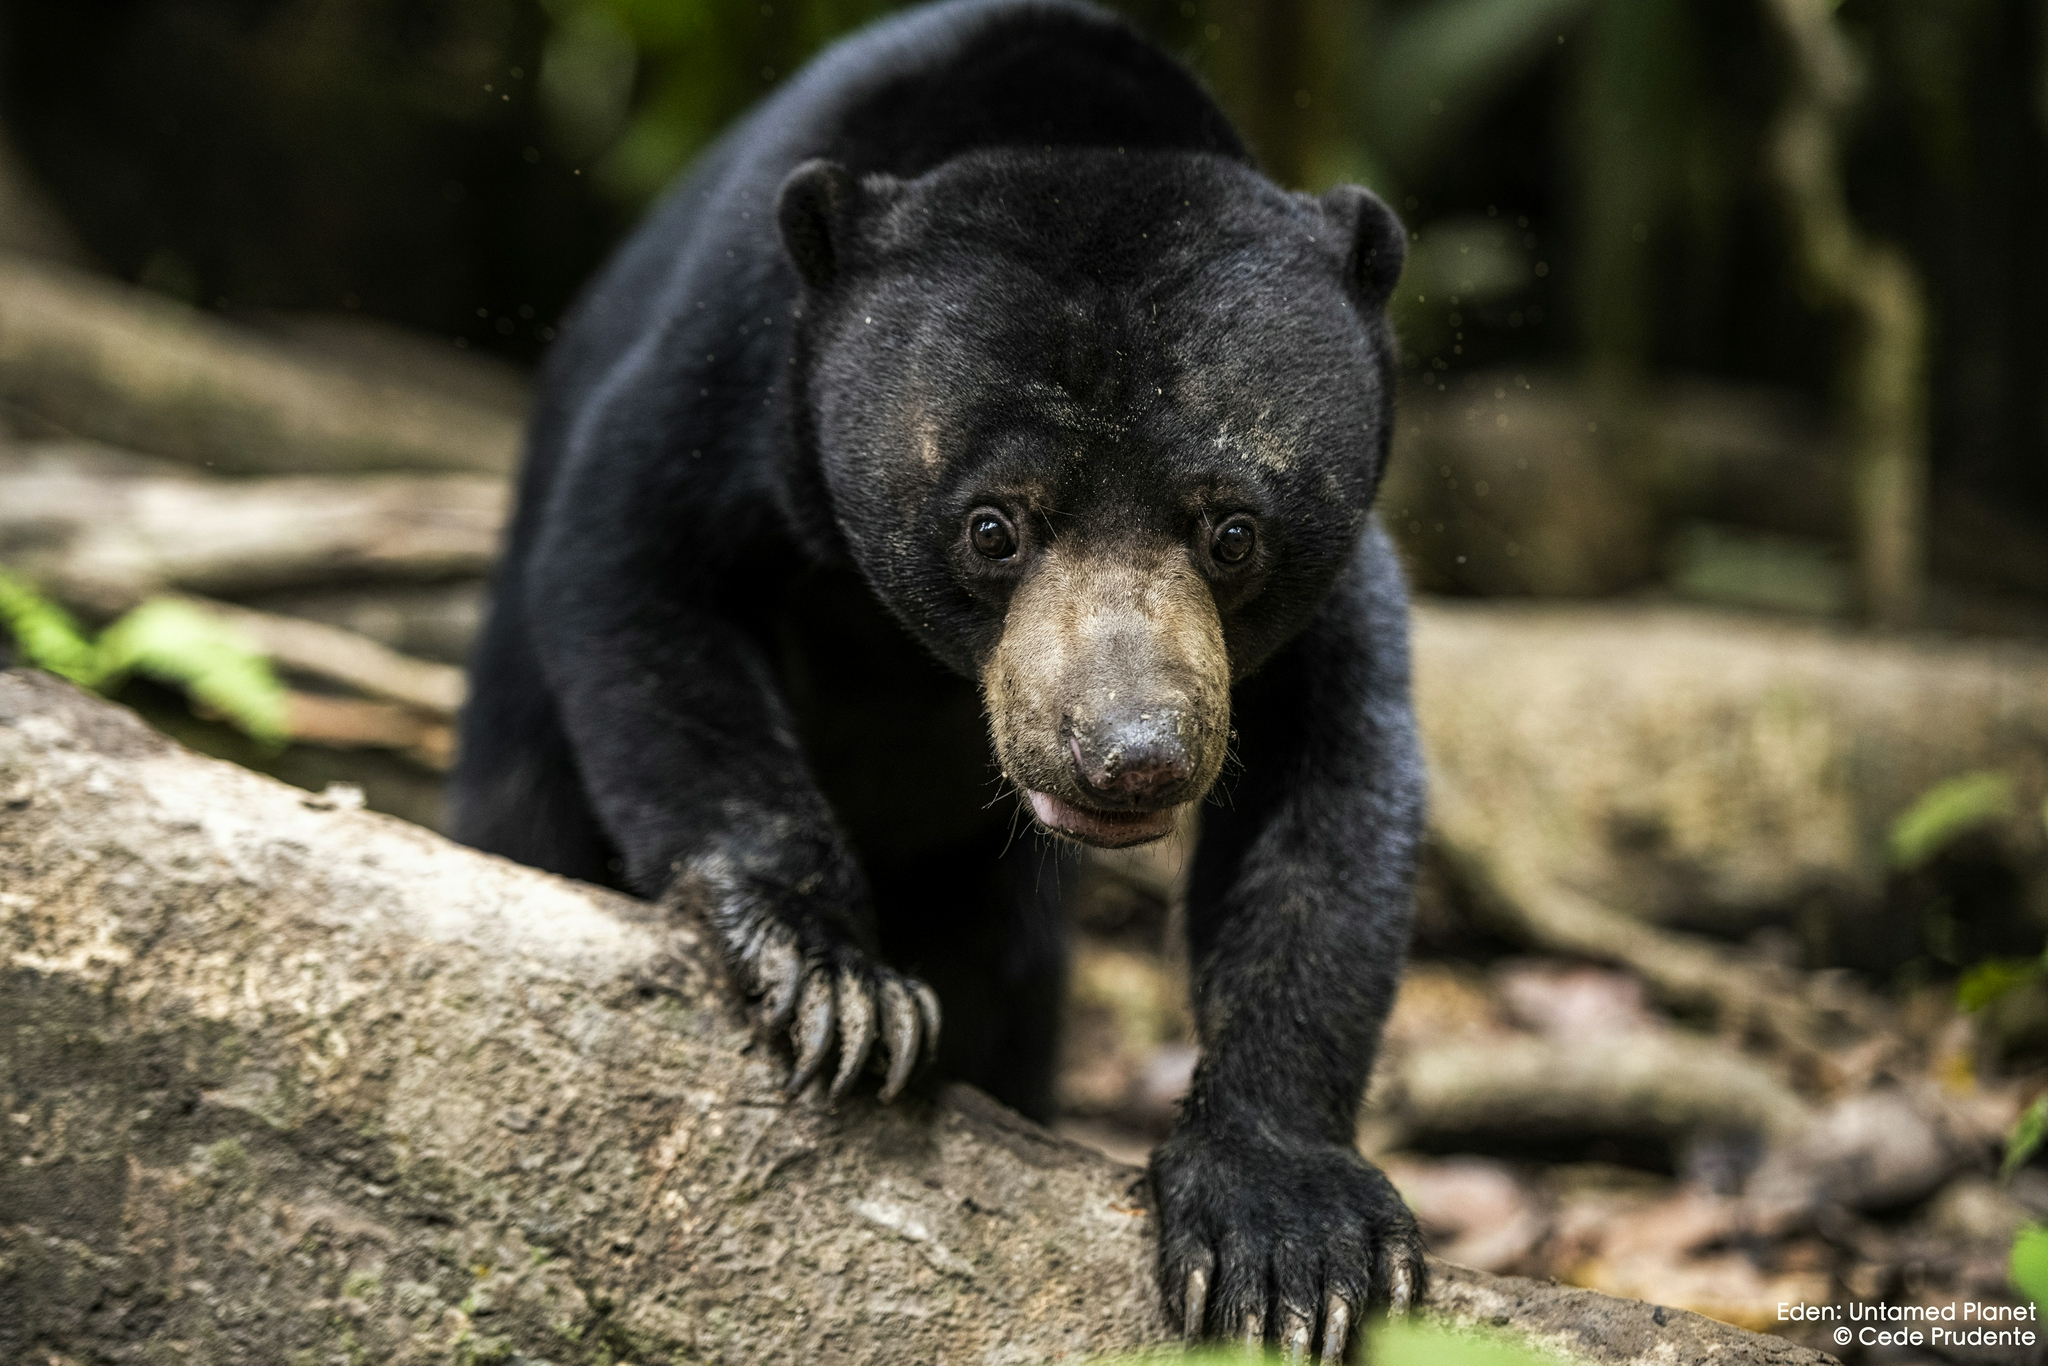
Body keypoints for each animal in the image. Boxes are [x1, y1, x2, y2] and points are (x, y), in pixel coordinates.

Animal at [452, 0, 1425, 1351]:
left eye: (1232, 532)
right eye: (991, 526)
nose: (1130, 754)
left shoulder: (1325, 592)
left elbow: (1328, 790)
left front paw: (1287, 1241)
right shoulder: (726, 381)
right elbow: (633, 574)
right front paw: (835, 986)